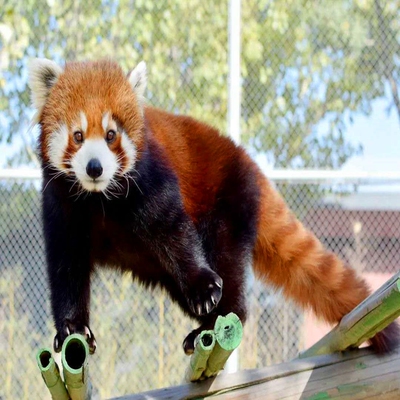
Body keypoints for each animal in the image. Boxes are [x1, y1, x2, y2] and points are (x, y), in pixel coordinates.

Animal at [28, 57, 396, 356]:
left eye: (110, 135)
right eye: (78, 136)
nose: (95, 168)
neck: (101, 198)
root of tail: (247, 161)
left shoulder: (152, 183)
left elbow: (173, 231)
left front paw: (203, 285)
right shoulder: (63, 204)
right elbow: (67, 266)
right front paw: (72, 327)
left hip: (227, 198)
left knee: (226, 259)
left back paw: (217, 317)